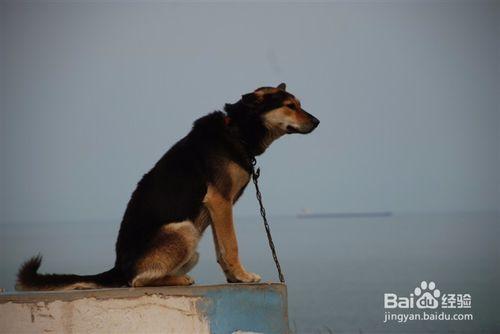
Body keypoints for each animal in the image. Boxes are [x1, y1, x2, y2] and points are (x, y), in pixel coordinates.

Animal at [16, 83, 320, 290]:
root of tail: (118, 268)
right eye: (290, 106)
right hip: (183, 229)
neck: (237, 130)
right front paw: (244, 276)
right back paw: (178, 279)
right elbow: (231, 245)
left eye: (299, 103)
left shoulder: (218, 208)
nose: (318, 122)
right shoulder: (220, 202)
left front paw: (233, 278)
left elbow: (221, 249)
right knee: (136, 280)